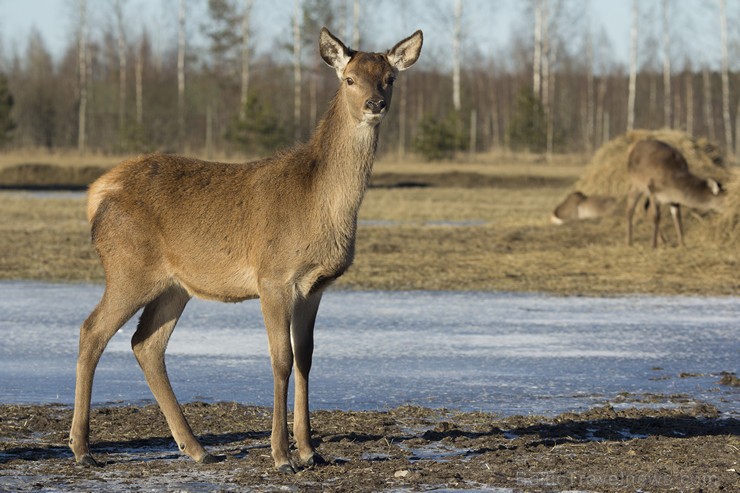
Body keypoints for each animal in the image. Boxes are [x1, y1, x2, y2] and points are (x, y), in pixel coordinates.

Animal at [72, 26, 424, 472]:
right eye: (349, 79)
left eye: (389, 78)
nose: (374, 104)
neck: (320, 204)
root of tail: (97, 193)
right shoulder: (273, 277)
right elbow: (281, 359)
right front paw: (281, 455)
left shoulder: (316, 286)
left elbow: (306, 356)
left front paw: (310, 450)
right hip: (128, 266)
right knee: (92, 330)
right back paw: (82, 448)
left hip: (174, 286)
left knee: (146, 343)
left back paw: (197, 447)